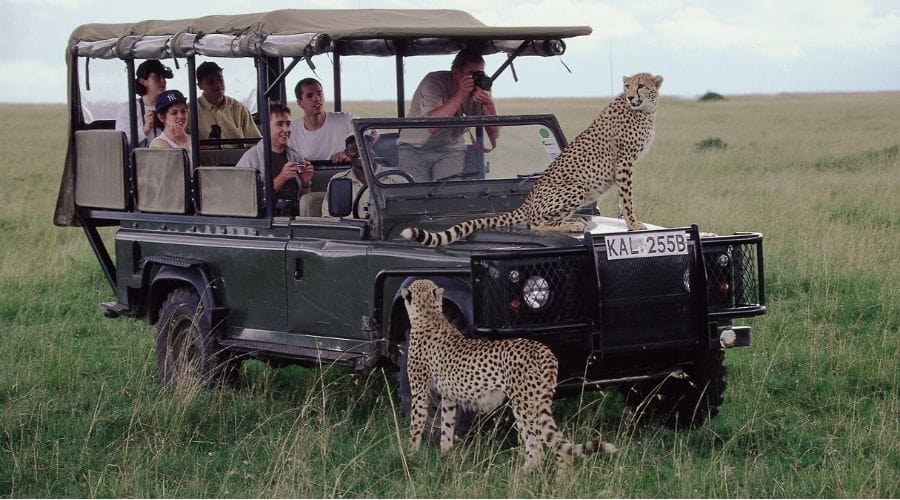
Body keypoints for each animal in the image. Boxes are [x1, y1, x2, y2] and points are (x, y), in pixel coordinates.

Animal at [400, 279, 616, 471]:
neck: (429, 315)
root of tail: (541, 348)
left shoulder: (420, 392)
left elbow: (416, 425)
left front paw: (410, 457)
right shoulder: (449, 397)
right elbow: (446, 425)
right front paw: (445, 456)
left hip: (523, 403)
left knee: (537, 449)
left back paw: (519, 475)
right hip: (538, 401)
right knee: (560, 445)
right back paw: (562, 482)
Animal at [401, 72, 663, 247]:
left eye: (640, 86)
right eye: (627, 86)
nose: (631, 97)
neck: (646, 111)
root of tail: (526, 201)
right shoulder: (624, 162)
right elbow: (627, 197)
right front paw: (634, 225)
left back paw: (575, 220)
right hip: (576, 187)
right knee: (535, 222)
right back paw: (573, 224)